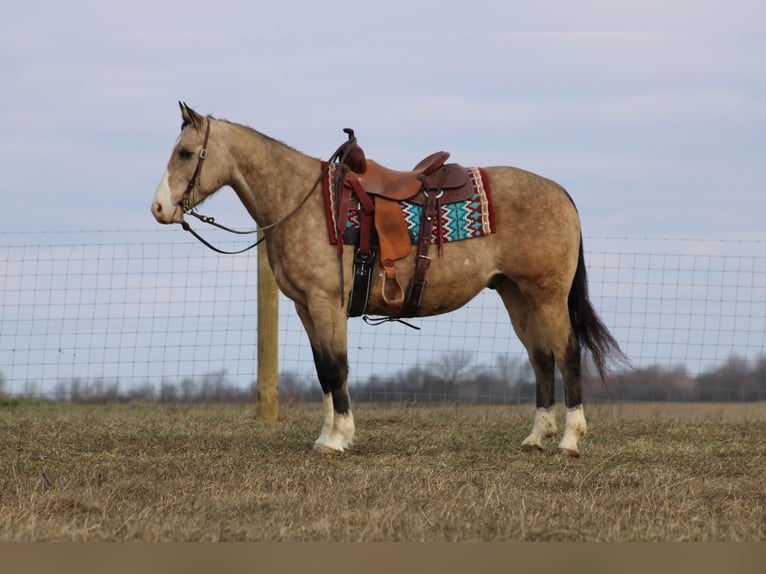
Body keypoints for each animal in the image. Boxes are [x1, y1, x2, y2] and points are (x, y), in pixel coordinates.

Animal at [150, 100, 624, 460]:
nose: (159, 209)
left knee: (567, 353)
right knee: (541, 357)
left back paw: (569, 441)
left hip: (547, 295)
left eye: (186, 153)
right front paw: (327, 435)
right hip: (517, 295)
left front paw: (338, 438)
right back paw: (535, 438)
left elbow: (336, 367)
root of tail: (560, 192)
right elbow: (323, 370)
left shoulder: (326, 303)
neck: (303, 201)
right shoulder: (306, 308)